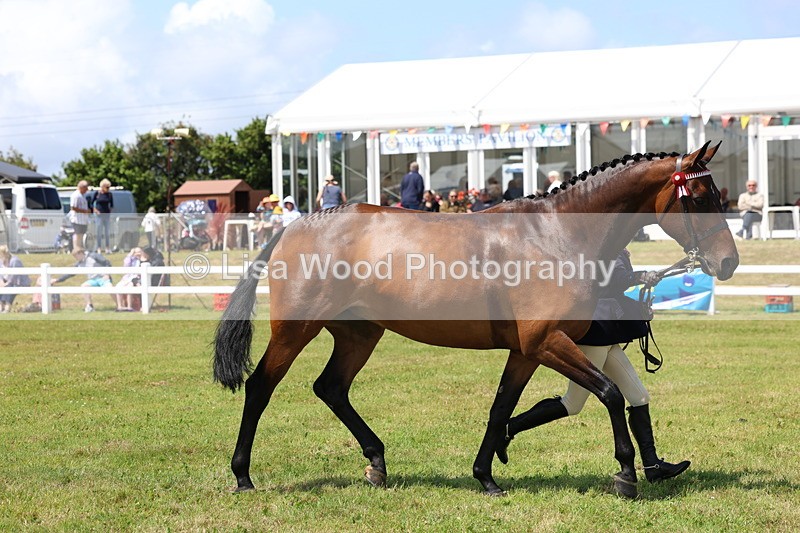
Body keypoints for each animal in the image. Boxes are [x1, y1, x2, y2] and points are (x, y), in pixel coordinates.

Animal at [213, 141, 738, 499]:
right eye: (700, 198)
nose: (728, 262)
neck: (557, 232)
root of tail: (298, 224)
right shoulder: (548, 342)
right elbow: (609, 394)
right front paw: (626, 473)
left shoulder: (527, 350)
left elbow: (501, 407)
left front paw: (486, 476)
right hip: (295, 329)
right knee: (261, 387)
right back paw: (242, 474)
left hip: (360, 333)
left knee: (331, 388)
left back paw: (377, 463)